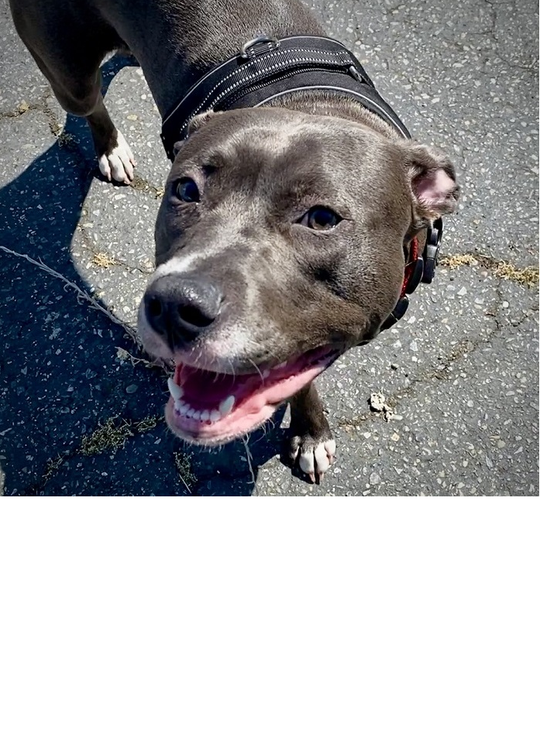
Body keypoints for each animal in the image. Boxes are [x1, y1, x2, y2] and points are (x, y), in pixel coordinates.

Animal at [10, 0, 458, 482]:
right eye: (186, 189)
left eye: (322, 218)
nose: (175, 305)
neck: (308, 104)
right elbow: (297, 382)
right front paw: (311, 433)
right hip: (68, 76)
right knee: (88, 101)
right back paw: (111, 148)